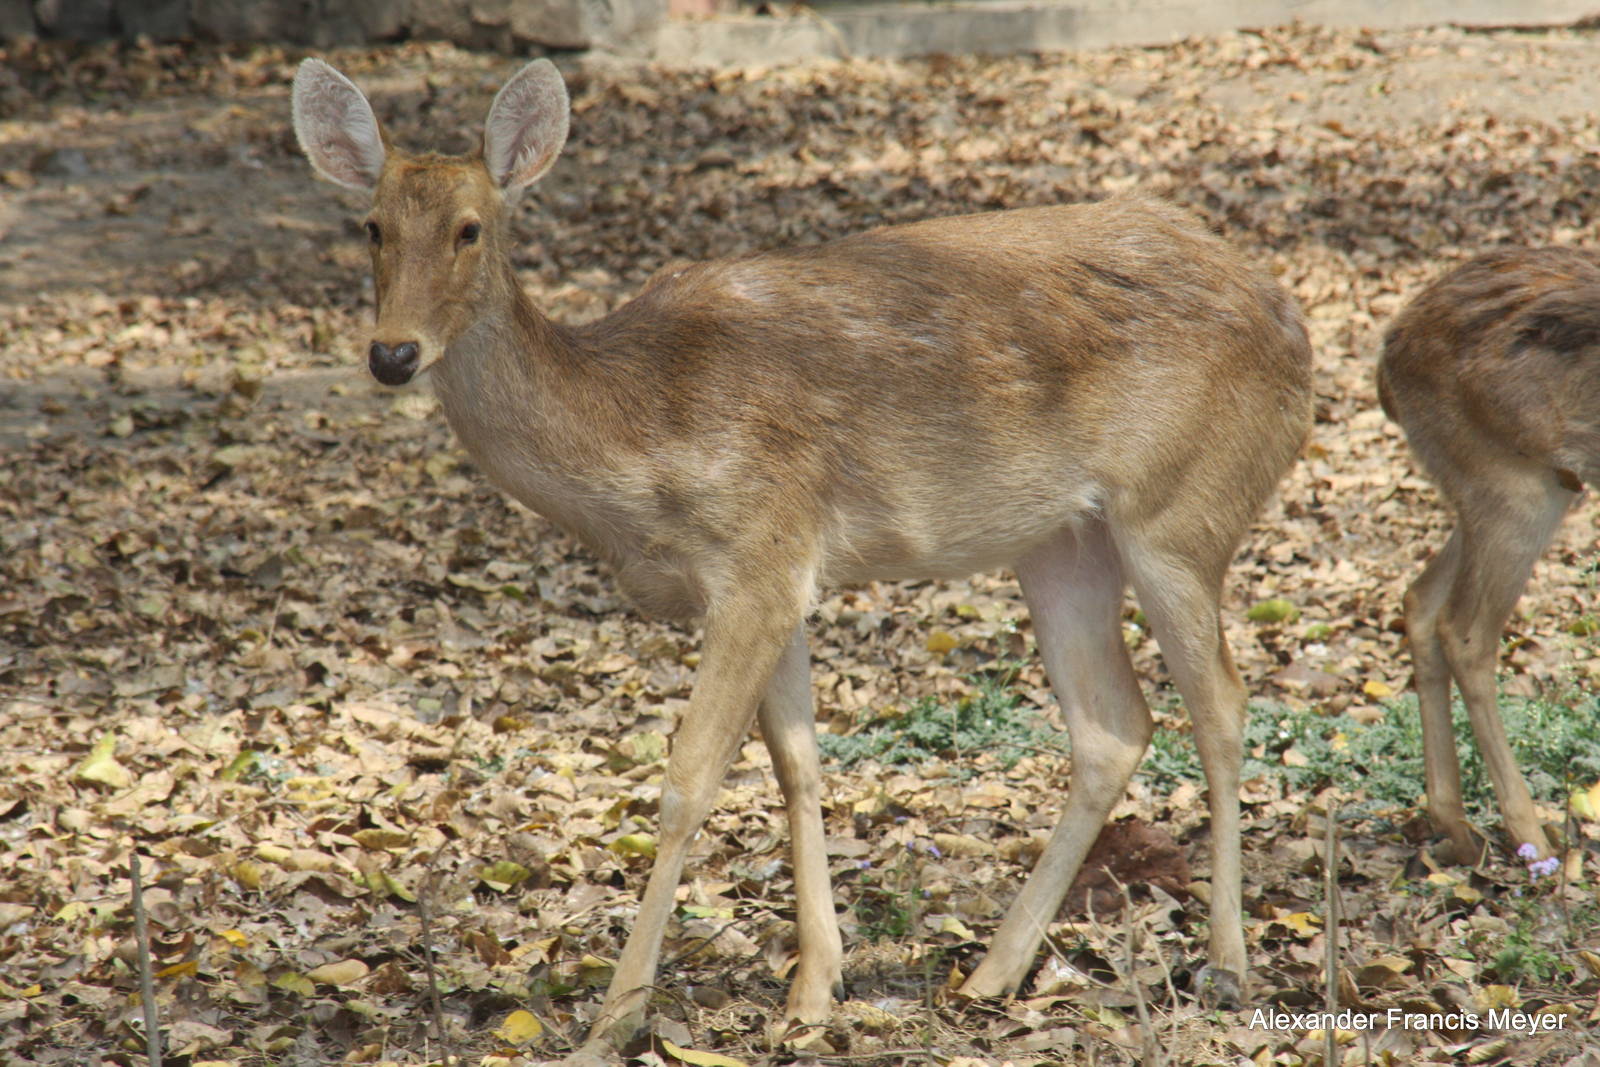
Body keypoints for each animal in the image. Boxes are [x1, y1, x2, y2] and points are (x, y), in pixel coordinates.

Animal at [291, 56, 1314, 1054]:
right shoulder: (775, 570)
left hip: (1181, 509)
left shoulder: (759, 555)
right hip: (1062, 540)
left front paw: (614, 1021)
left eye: (470, 228)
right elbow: (797, 762)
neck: (639, 430)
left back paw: (1227, 965)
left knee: (1223, 704)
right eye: (372, 226)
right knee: (1112, 725)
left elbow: (687, 779)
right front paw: (815, 990)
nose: (392, 352)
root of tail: (1293, 326)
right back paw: (990, 973)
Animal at [1380, 247, 1599, 866]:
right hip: (1515, 489)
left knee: (1420, 599)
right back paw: (1533, 839)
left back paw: (1455, 825)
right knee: (1466, 631)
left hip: (1491, 491)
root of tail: (1388, 360)